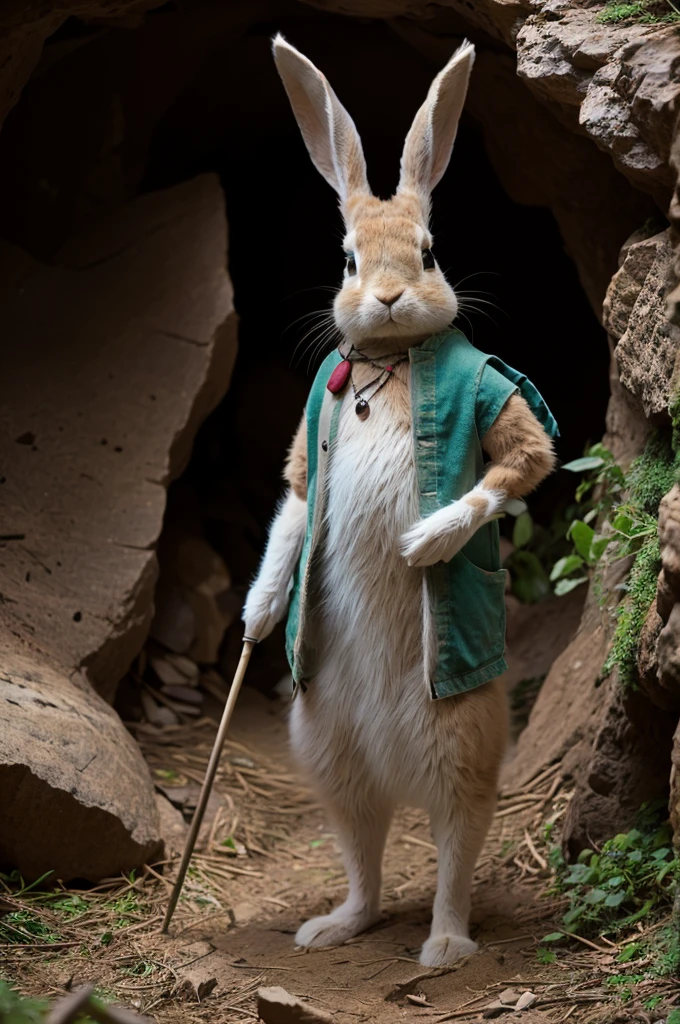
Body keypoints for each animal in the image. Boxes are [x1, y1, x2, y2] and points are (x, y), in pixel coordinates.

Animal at [244, 36, 557, 962]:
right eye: (349, 257)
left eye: (428, 251)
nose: (385, 299)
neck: (388, 361)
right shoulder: (308, 453)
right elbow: (295, 505)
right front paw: (258, 614)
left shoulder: (504, 405)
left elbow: (522, 463)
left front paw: (424, 542)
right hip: (324, 744)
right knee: (365, 849)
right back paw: (333, 928)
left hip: (460, 738)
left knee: (455, 845)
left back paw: (445, 947)